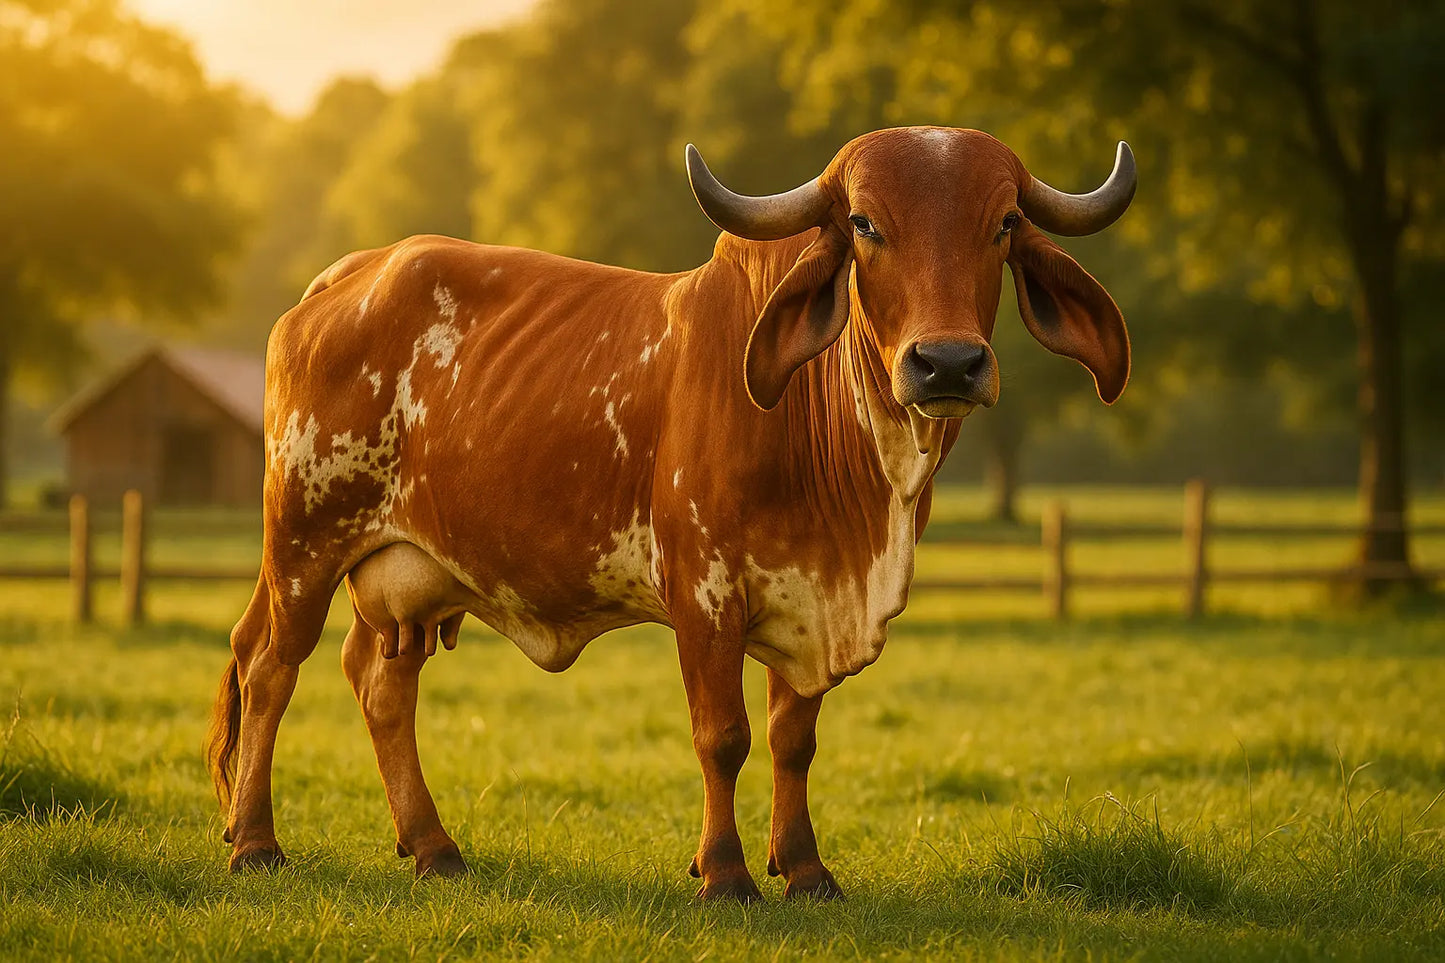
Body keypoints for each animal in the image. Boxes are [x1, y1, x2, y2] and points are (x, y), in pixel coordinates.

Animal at [207, 126, 1135, 901]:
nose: (946, 363)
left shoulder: (806, 598)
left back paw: (433, 846)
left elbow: (793, 739)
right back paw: (255, 843)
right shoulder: (704, 593)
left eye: (1004, 222)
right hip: (304, 539)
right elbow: (722, 734)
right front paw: (724, 873)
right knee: (269, 664)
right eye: (865, 224)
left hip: (405, 577)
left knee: (380, 685)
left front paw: (805, 869)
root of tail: (347, 275)